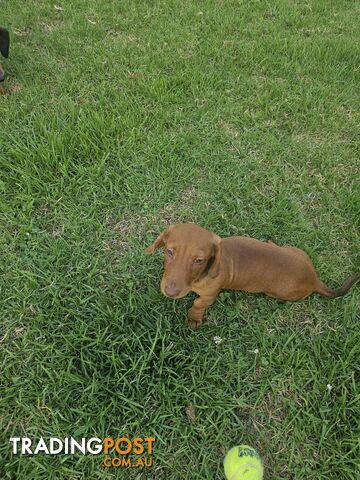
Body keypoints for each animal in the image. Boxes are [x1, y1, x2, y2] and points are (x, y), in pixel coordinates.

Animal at [146, 223, 358, 328]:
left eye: (199, 260)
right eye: (169, 251)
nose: (170, 291)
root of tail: (314, 279)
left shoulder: (210, 295)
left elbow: (198, 304)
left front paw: (194, 318)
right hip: (298, 251)